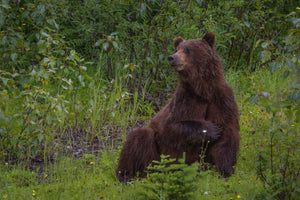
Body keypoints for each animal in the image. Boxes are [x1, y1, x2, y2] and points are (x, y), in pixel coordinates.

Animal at [116, 32, 240, 183]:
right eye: (177, 49)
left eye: (187, 49)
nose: (171, 57)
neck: (203, 90)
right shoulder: (185, 100)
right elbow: (173, 127)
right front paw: (211, 129)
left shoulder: (222, 100)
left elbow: (227, 133)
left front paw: (225, 171)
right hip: (156, 157)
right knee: (139, 137)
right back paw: (124, 175)